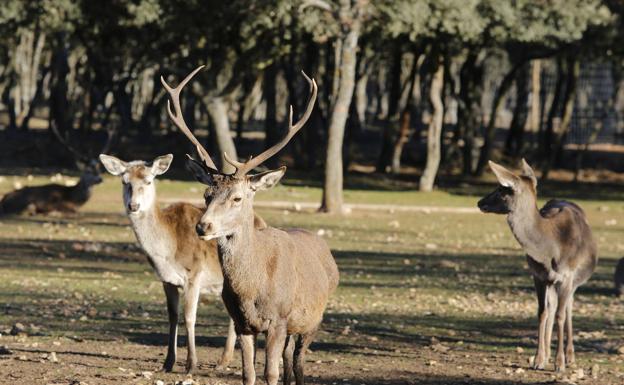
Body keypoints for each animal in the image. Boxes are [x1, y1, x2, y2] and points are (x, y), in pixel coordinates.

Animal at [100, 153, 268, 372]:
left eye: (148, 181)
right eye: (124, 181)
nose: (133, 206)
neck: (168, 251)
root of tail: (262, 221)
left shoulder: (194, 275)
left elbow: (189, 317)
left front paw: (191, 364)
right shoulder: (166, 280)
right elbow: (173, 316)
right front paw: (168, 363)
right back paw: (224, 360)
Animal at [160, 67, 336, 384]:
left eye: (238, 197)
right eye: (206, 194)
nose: (203, 226)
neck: (252, 290)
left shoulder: (278, 319)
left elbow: (270, 374)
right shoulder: (242, 323)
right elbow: (249, 374)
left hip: (312, 319)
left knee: (298, 363)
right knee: (289, 362)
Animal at [478, 158, 600, 370]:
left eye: (502, 190)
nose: (480, 202)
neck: (550, 250)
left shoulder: (567, 276)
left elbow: (560, 315)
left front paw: (560, 364)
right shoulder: (538, 276)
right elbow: (542, 313)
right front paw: (538, 360)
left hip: (575, 281)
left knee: (568, 308)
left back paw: (570, 356)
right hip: (552, 283)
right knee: (552, 307)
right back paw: (548, 355)